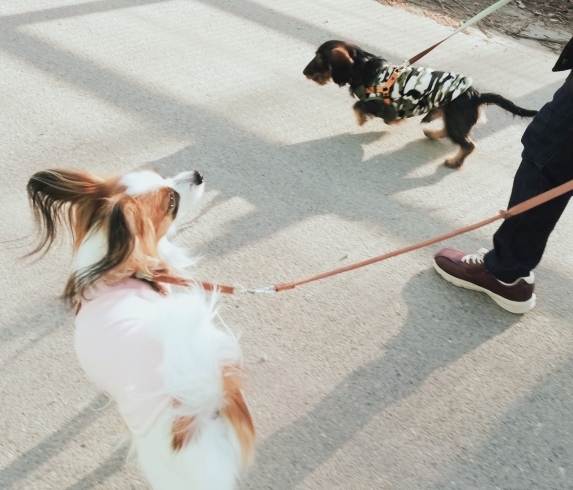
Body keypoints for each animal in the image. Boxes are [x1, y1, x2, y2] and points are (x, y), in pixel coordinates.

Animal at [302, 39, 540, 168]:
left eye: (319, 58)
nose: (304, 72)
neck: (365, 69)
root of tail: (476, 94)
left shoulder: (380, 104)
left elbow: (359, 107)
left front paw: (362, 121)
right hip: (452, 117)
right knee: (449, 132)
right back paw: (432, 132)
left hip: (456, 120)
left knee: (468, 144)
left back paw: (454, 162)